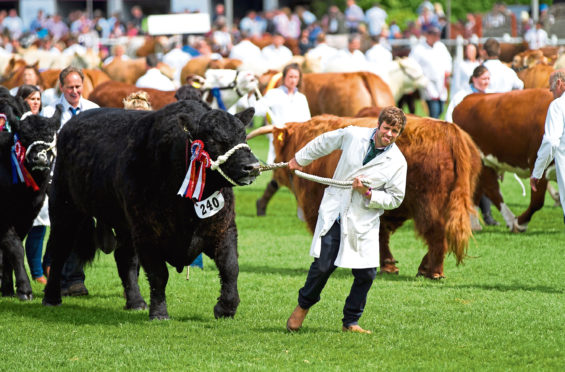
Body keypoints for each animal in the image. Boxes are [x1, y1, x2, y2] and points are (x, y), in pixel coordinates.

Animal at [43, 101, 258, 320]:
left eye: (243, 135)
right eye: (214, 140)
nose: (252, 166)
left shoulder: (224, 229)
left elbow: (230, 267)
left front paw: (226, 308)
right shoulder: (147, 234)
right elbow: (159, 275)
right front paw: (159, 313)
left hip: (124, 226)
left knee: (125, 259)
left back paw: (136, 302)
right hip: (64, 209)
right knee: (58, 252)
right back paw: (51, 298)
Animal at [251, 114, 480, 280]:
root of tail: (450, 131)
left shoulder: (314, 204)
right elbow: (380, 236)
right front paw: (387, 265)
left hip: (430, 204)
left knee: (436, 234)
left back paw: (432, 271)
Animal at [452, 88, 552, 231]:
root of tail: (470, 97)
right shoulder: (538, 164)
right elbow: (537, 202)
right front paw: (520, 223)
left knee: (480, 189)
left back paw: (475, 224)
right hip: (481, 160)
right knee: (491, 189)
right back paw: (509, 220)